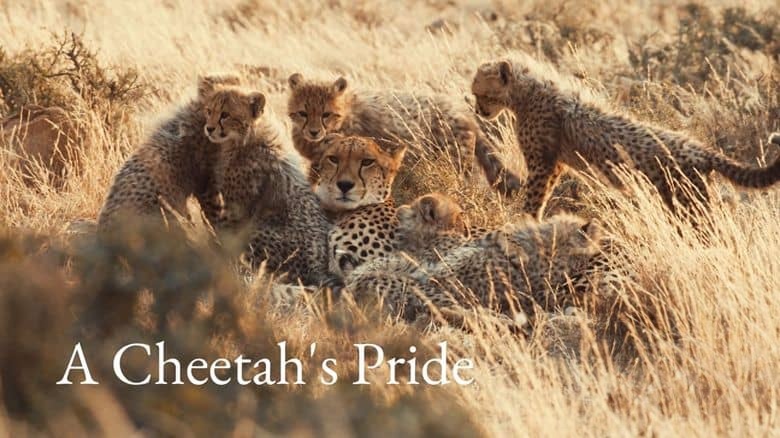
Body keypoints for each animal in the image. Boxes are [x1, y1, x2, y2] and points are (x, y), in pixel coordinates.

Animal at [200, 84, 331, 286]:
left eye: (225, 114)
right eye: (209, 111)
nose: (209, 128)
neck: (246, 138)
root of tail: (317, 267)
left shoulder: (236, 209)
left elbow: (225, 234)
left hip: (256, 229)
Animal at [471, 58, 780, 220]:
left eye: (480, 93)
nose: (478, 111)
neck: (526, 91)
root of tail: (701, 150)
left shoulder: (542, 163)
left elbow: (534, 195)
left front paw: (523, 220)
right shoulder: (555, 164)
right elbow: (543, 193)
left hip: (688, 203)